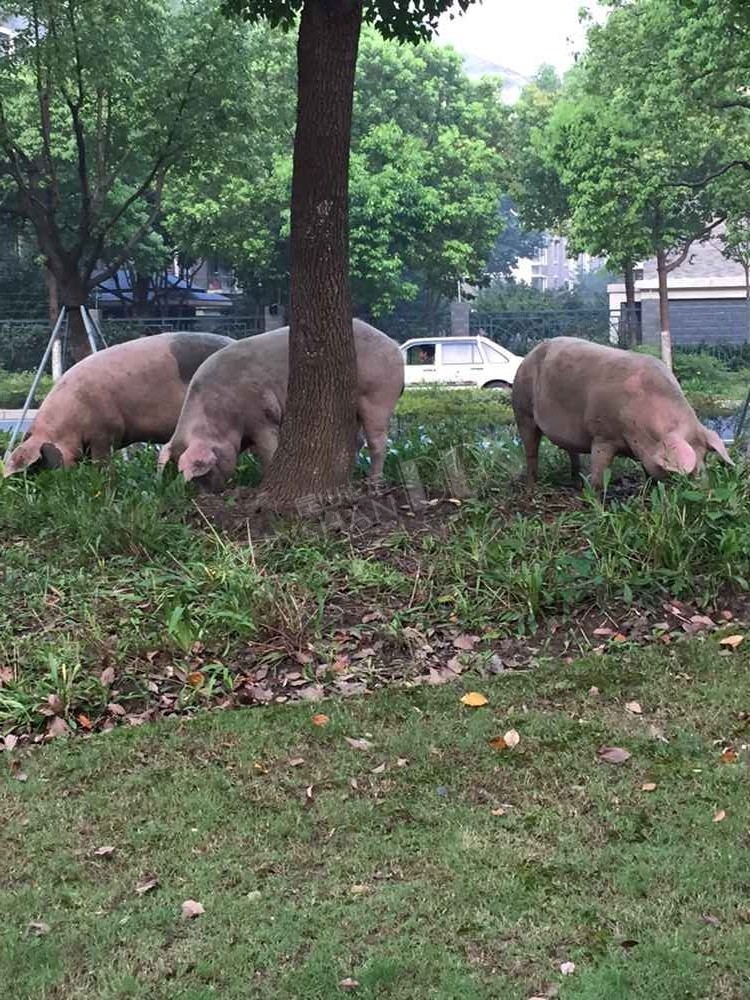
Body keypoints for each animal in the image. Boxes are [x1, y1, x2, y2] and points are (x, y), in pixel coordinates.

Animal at [159, 319, 404, 491]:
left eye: (204, 471)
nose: (208, 494)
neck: (220, 414)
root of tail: (395, 347)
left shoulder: (262, 415)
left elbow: (270, 450)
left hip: (378, 396)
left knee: (378, 442)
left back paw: (373, 483)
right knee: (356, 441)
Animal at [511, 337, 733, 492]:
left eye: (705, 458)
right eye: (688, 471)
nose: (707, 491)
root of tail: (527, 356)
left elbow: (649, 476)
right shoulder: (602, 436)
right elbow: (599, 479)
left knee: (571, 452)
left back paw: (577, 484)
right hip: (522, 410)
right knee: (531, 452)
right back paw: (531, 490)